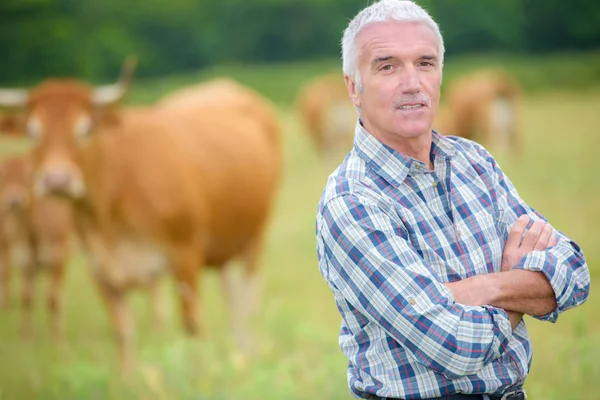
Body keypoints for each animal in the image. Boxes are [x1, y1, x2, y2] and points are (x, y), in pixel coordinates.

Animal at [0, 153, 73, 338]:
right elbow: (27, 296)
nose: (14, 200)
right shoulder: (25, 260)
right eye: (3, 177)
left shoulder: (56, 256)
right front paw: (26, 335)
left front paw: (56, 337)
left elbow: (53, 298)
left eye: (28, 176)